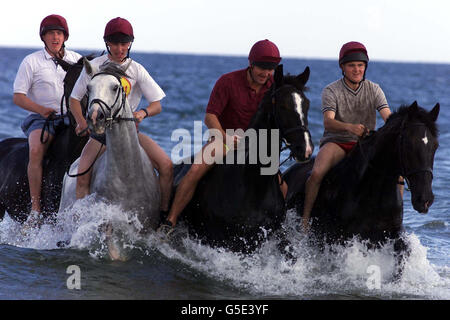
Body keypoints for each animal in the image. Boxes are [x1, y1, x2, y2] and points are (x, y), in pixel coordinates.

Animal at [172, 65, 312, 254]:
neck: (253, 184)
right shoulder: (225, 242)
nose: (305, 149)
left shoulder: (272, 236)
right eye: (283, 105)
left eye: (307, 105)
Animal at [284, 102, 440, 276]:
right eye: (408, 144)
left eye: (435, 146)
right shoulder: (339, 239)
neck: (372, 189)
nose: (425, 200)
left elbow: (403, 252)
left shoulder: (390, 234)